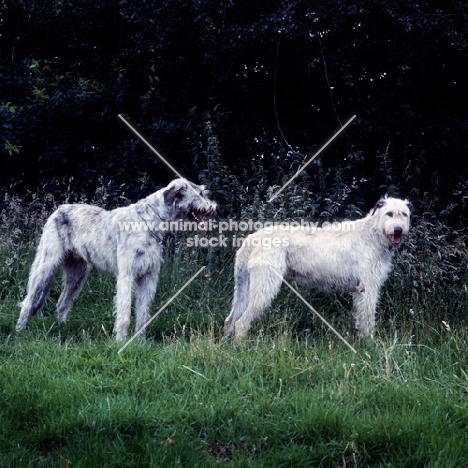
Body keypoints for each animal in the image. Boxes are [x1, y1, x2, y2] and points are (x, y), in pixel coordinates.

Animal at [16, 179, 218, 340]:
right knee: (29, 300)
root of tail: (58, 210)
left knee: (62, 303)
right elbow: (124, 310)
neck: (150, 221)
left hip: (78, 273)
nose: (215, 208)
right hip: (46, 265)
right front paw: (120, 341)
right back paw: (19, 331)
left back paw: (60, 329)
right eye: (200, 194)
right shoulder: (126, 275)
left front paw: (140, 342)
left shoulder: (149, 276)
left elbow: (143, 312)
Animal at [225, 195, 412, 340]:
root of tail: (251, 239)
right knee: (241, 322)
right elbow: (368, 318)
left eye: (404, 214)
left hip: (244, 287)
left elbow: (360, 318)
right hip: (265, 285)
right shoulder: (369, 287)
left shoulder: (360, 291)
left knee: (231, 320)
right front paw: (370, 344)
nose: (398, 230)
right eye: (389, 214)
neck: (374, 233)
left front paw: (362, 340)